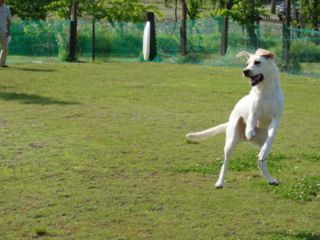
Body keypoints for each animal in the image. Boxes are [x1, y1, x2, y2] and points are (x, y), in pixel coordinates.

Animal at [186, 48, 284, 188]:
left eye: (257, 62)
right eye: (247, 63)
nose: (245, 71)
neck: (264, 91)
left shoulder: (276, 119)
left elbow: (270, 138)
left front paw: (263, 151)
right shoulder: (253, 112)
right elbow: (251, 119)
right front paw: (250, 131)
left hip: (262, 142)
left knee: (261, 161)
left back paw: (269, 177)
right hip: (230, 142)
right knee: (225, 164)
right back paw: (220, 182)